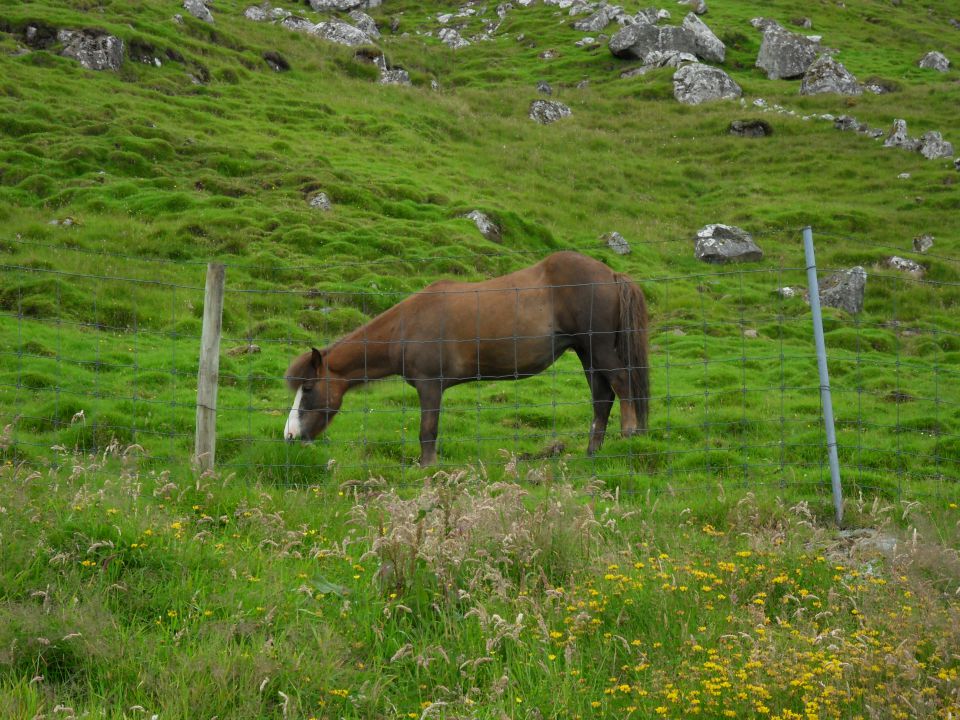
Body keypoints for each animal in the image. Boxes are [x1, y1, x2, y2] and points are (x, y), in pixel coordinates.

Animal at [282, 253, 648, 466]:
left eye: (309, 388)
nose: (290, 436)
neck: (407, 325)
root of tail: (611, 274)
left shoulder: (429, 386)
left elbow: (427, 431)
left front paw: (427, 467)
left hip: (598, 348)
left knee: (621, 382)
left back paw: (630, 432)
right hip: (586, 353)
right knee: (602, 399)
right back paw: (591, 454)